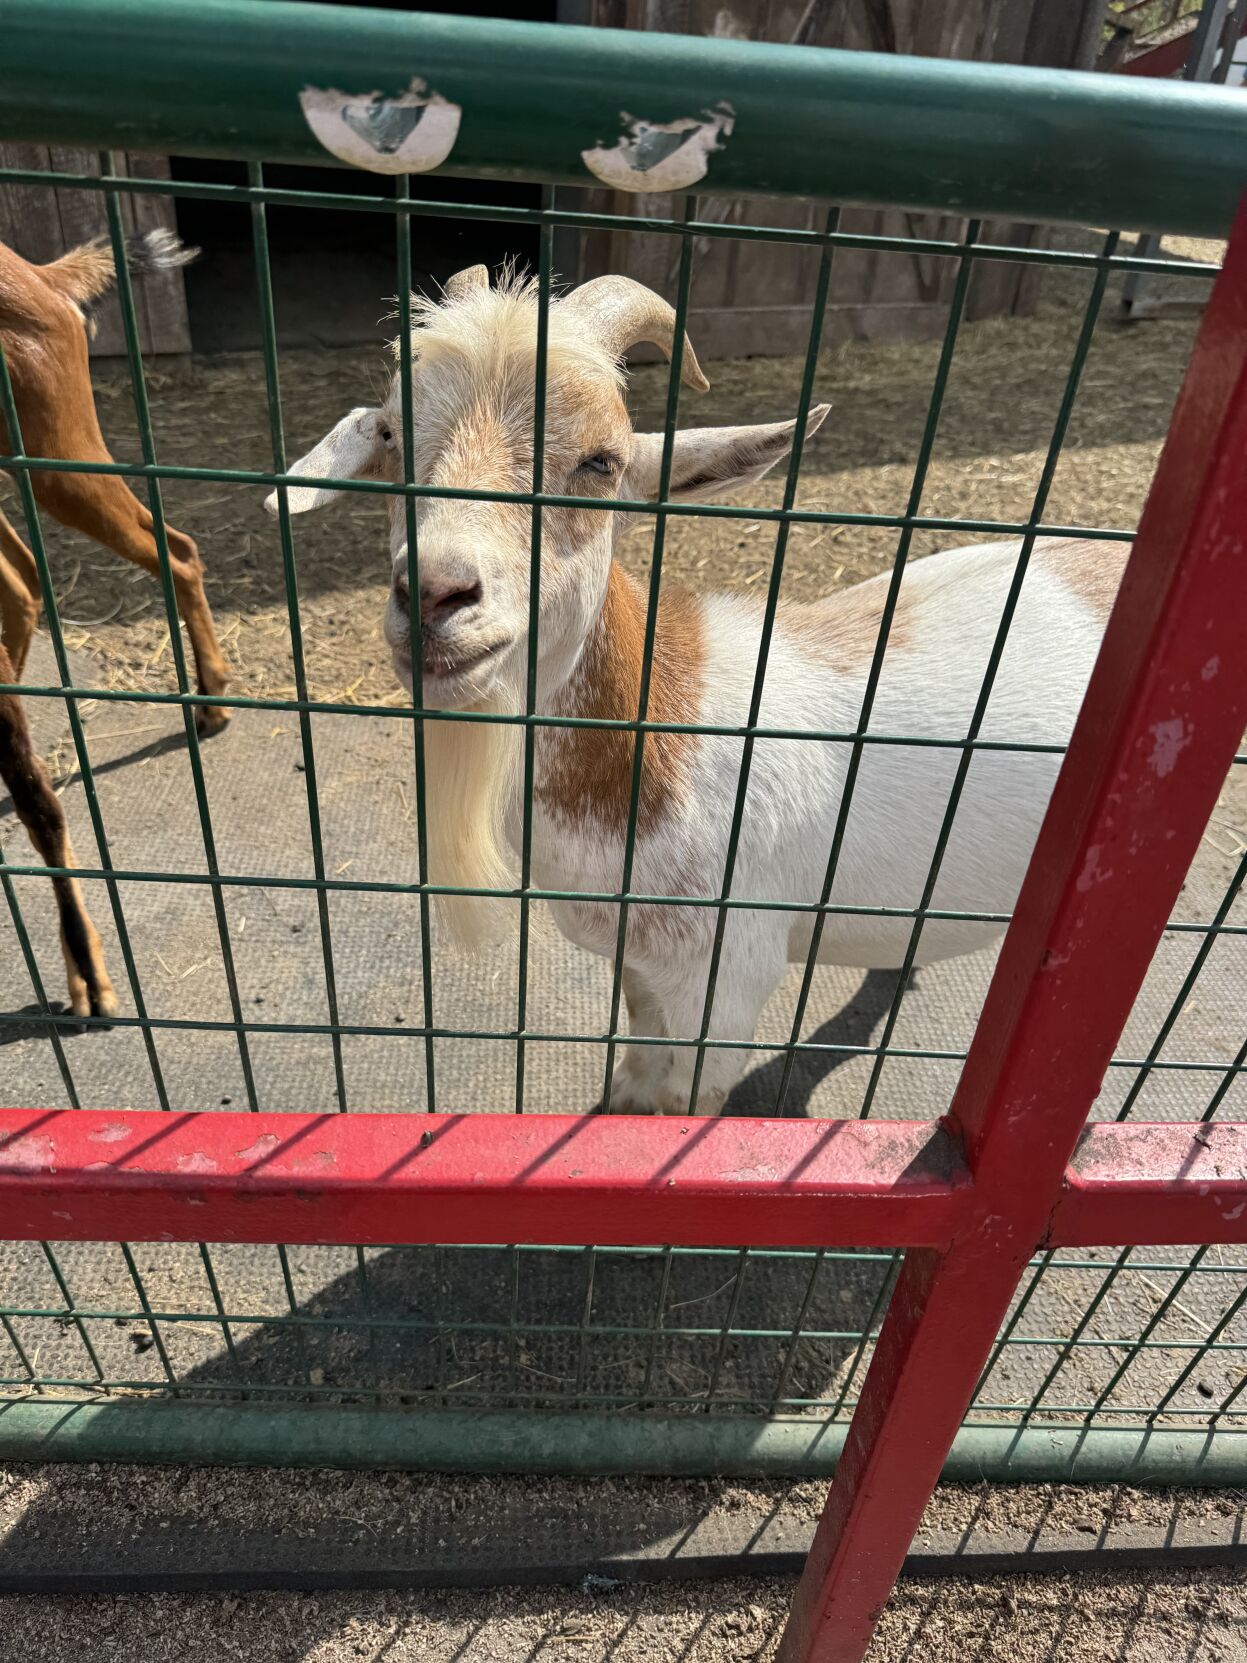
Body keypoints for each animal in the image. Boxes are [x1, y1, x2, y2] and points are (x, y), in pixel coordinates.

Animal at [0, 228, 222, 1020]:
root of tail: (42, 276)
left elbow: (39, 800)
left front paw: (90, 978)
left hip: (51, 452)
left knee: (174, 549)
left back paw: (213, 699)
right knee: (24, 579)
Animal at [270, 265, 1127, 1114]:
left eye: (601, 460)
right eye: (390, 436)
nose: (435, 593)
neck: (669, 734)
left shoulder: (725, 985)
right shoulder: (643, 966)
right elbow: (636, 1064)